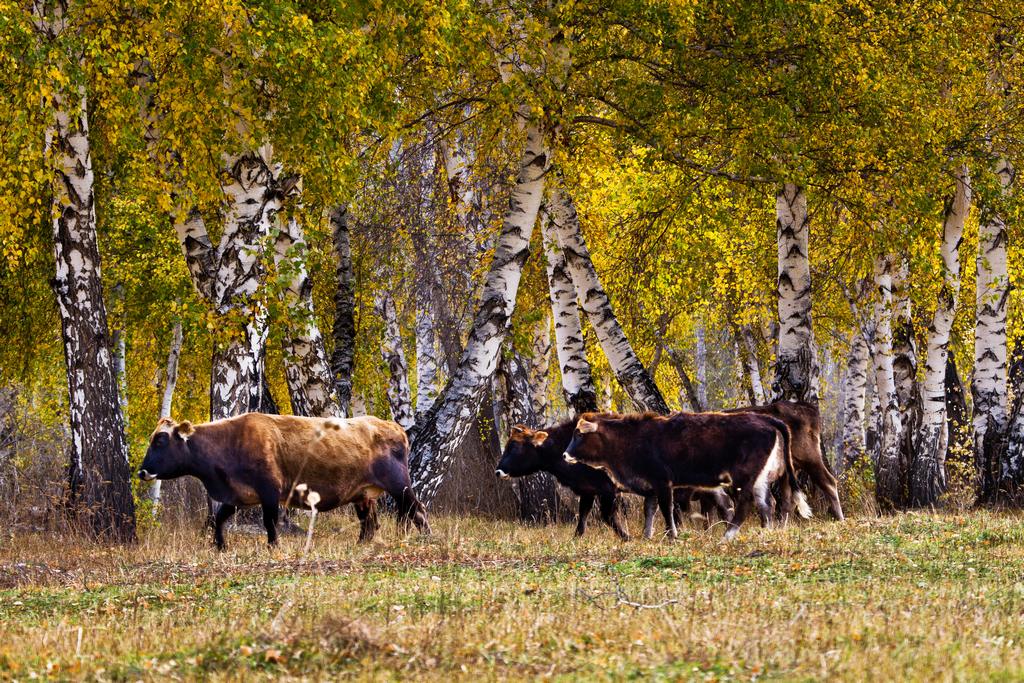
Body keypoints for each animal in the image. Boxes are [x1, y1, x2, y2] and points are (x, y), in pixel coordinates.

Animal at [139, 411, 428, 548]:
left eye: (161, 440)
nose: (142, 472)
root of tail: (392, 426)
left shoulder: (270, 490)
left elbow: (270, 521)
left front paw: (273, 545)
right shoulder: (237, 494)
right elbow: (220, 519)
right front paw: (220, 546)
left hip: (400, 485)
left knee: (418, 510)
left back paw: (428, 538)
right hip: (363, 494)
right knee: (369, 523)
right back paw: (361, 544)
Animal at [565, 411, 811, 540]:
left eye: (579, 434)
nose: (565, 454)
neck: (632, 438)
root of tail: (766, 419)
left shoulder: (663, 482)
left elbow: (666, 508)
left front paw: (672, 535)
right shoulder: (651, 486)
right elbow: (649, 510)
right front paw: (647, 535)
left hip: (744, 477)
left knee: (745, 504)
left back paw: (728, 535)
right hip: (759, 478)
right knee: (766, 503)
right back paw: (764, 531)